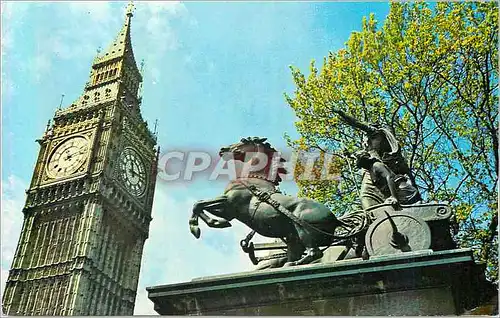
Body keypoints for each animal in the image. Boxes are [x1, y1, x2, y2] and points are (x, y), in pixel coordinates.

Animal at [188, 137, 360, 266]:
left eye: (242, 142)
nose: (223, 149)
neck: (252, 180)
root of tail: (335, 219)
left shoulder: (228, 202)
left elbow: (198, 204)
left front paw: (198, 228)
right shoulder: (229, 211)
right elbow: (202, 206)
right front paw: (218, 223)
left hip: (303, 228)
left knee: (314, 252)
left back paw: (294, 264)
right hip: (293, 237)